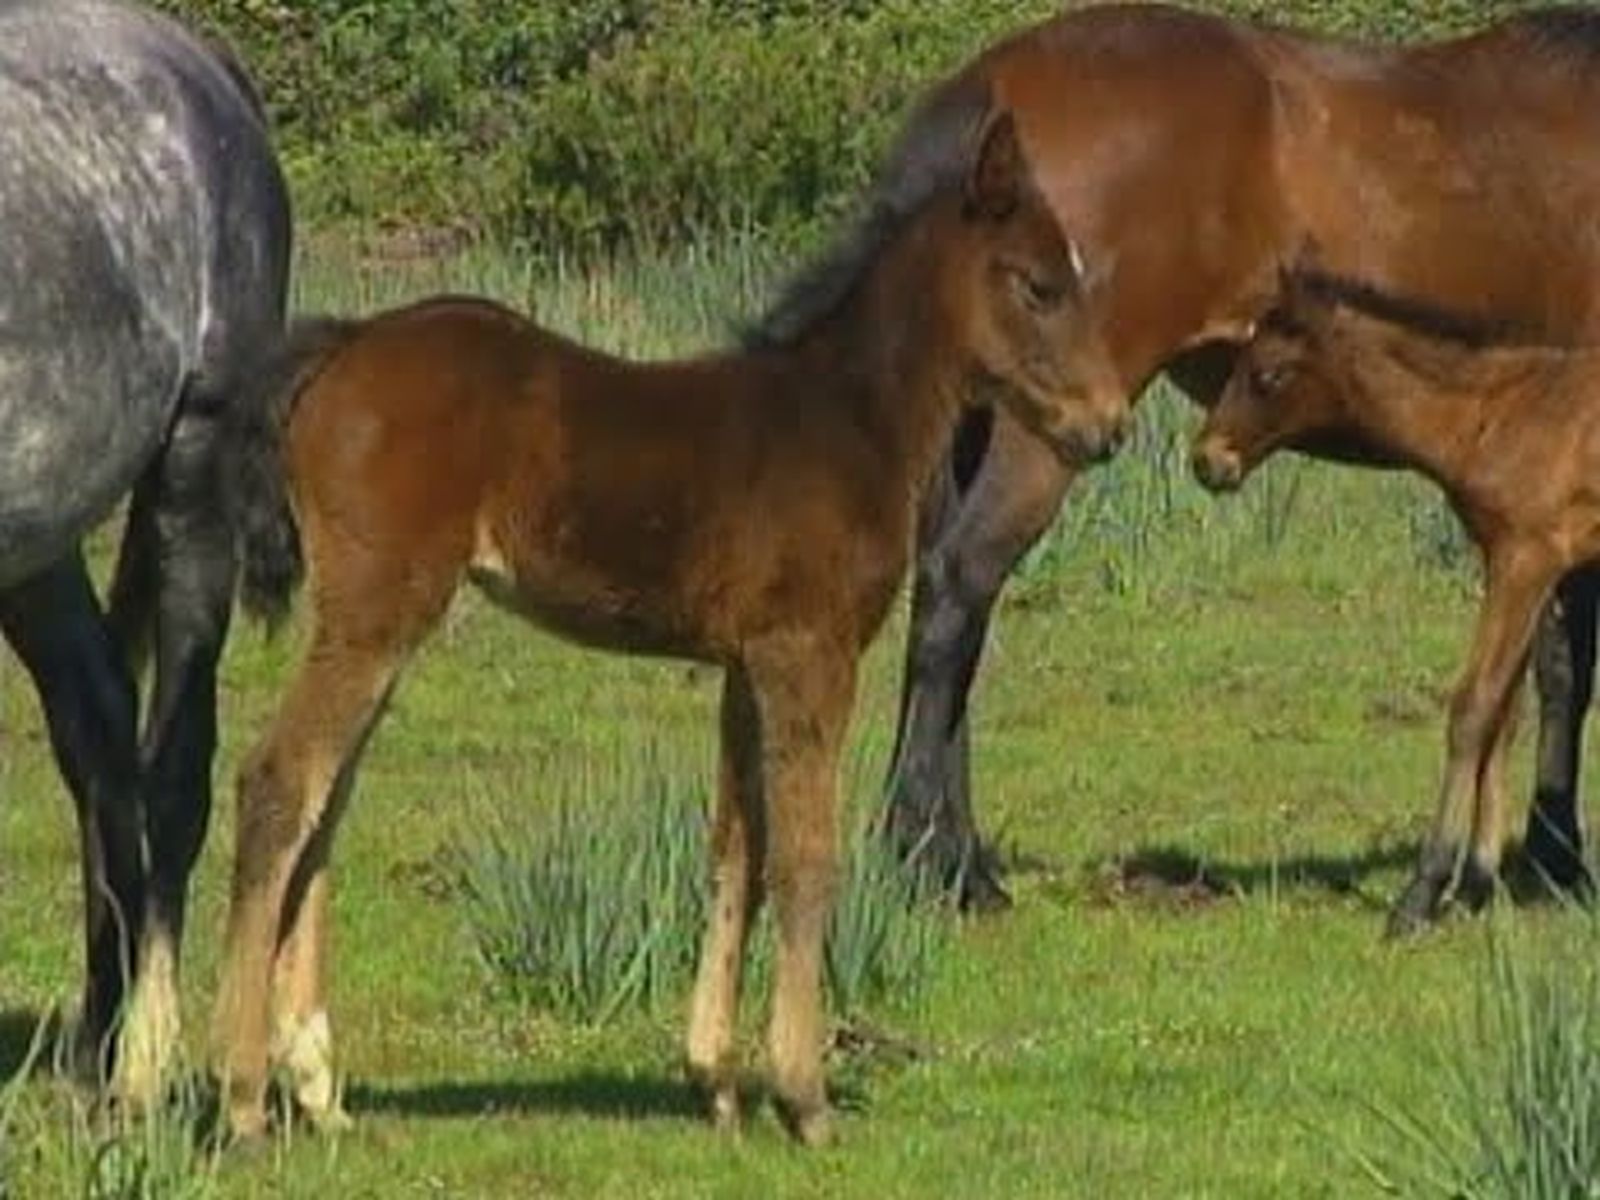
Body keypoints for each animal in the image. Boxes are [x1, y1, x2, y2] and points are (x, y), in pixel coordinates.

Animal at [0, 0, 290, 1102]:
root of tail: (197, 62)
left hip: (190, 478)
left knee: (171, 768)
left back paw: (144, 1067)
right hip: (39, 546)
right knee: (100, 743)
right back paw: (96, 1041)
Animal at [210, 100, 1125, 1145]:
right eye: (1038, 284)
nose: (1109, 426)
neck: (848, 419)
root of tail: (342, 345)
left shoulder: (743, 663)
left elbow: (737, 850)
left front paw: (715, 1081)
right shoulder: (808, 653)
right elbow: (807, 857)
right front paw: (804, 1096)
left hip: (378, 622)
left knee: (323, 806)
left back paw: (319, 1090)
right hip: (375, 612)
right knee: (279, 784)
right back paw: (244, 1097)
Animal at [1191, 266, 1599, 932]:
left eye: (1267, 373)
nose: (1208, 460)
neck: (1497, 411)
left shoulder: (1526, 560)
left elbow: (1473, 709)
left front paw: (1421, 893)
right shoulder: (1513, 565)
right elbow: (1504, 716)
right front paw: (1474, 886)